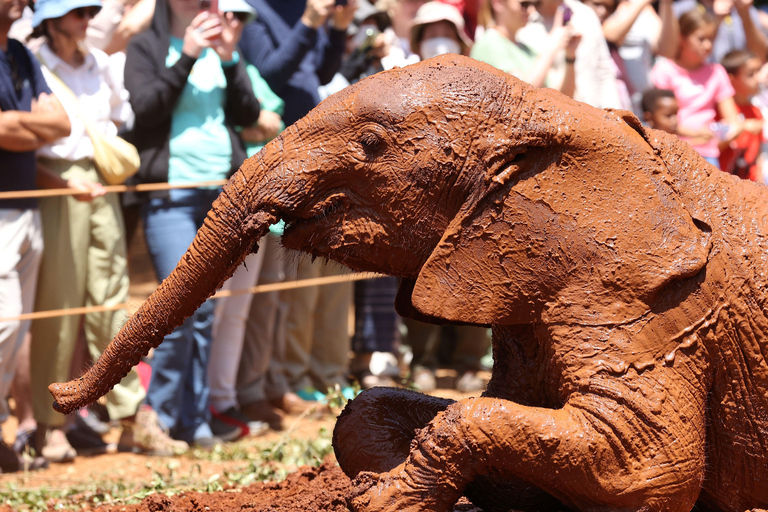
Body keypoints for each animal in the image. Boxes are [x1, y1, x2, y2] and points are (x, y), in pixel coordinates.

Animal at [49, 56, 768, 512]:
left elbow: (648, 467)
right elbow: (379, 410)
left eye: (371, 144)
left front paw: (381, 499)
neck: (557, 114)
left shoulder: (647, 306)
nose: (59, 395)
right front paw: (380, 481)